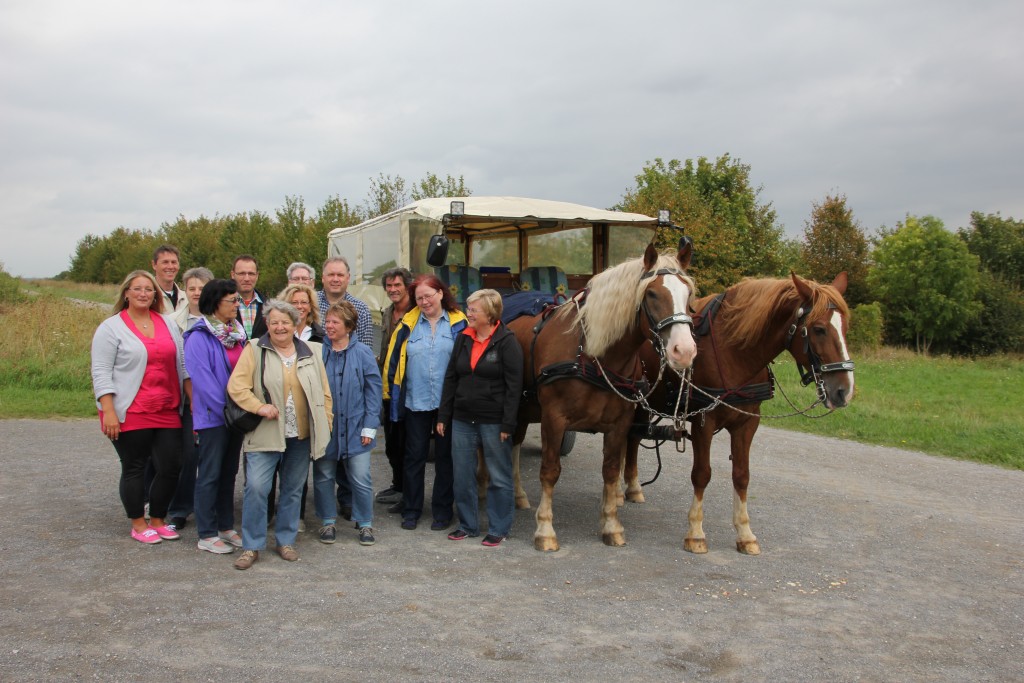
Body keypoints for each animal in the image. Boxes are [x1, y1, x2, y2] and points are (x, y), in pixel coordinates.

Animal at [622, 272, 856, 557]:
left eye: (845, 327)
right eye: (819, 329)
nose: (844, 391)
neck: (731, 350)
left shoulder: (747, 423)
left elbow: (742, 475)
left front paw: (745, 534)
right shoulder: (704, 422)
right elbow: (702, 474)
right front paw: (696, 533)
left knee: (632, 438)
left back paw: (633, 488)